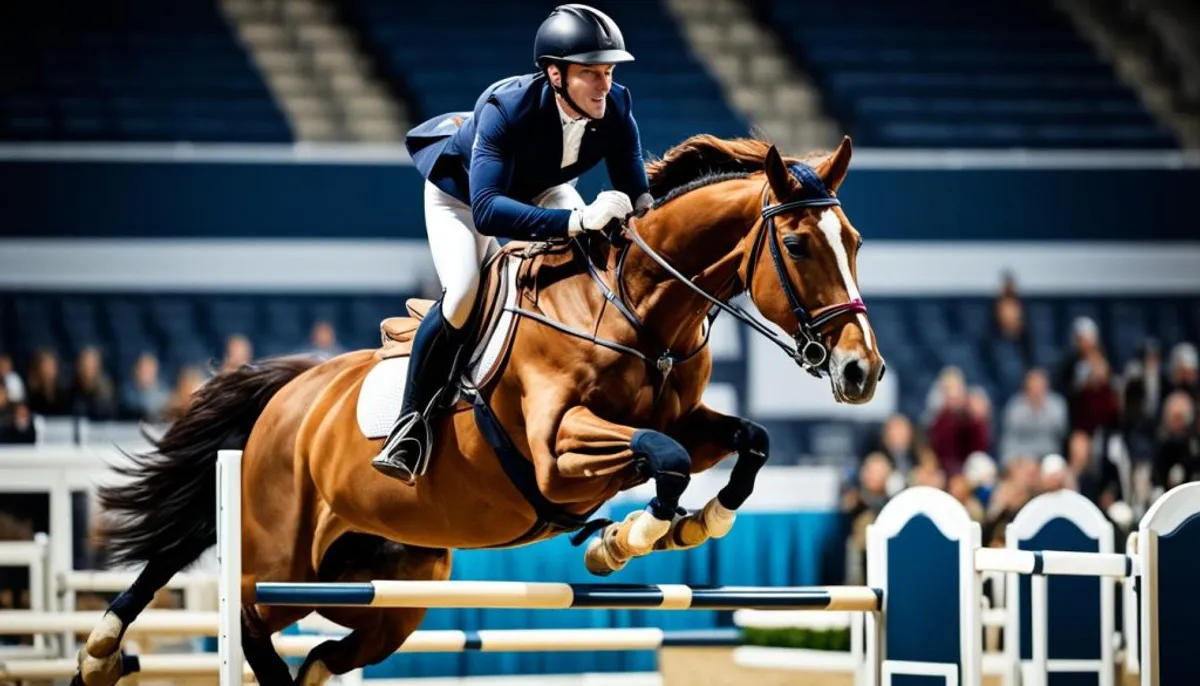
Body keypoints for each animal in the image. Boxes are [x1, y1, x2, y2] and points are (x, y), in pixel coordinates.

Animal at [75, 133, 883, 686]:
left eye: (855, 240)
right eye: (799, 246)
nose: (862, 370)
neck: (637, 314)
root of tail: (288, 395)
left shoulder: (684, 417)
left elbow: (747, 440)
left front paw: (689, 525)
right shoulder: (557, 453)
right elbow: (667, 457)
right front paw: (624, 538)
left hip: (389, 589)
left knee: (324, 653)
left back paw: (109, 651)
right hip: (277, 556)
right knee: (235, 609)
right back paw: (104, 650)